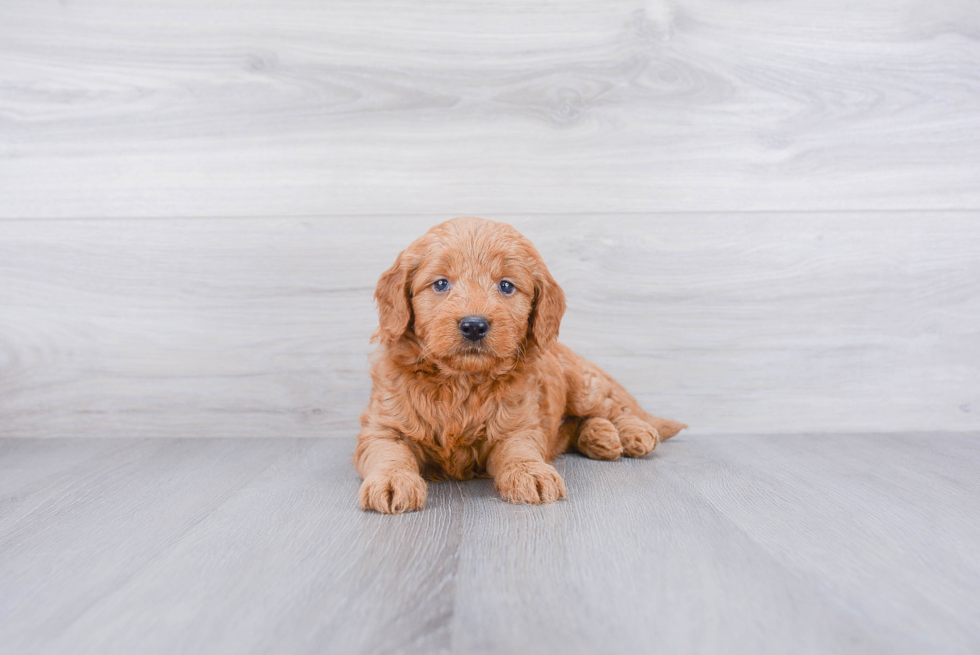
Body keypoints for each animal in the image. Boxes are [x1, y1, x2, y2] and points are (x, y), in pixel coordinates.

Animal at [354, 215, 688, 512]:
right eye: (440, 284)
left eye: (505, 286)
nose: (474, 325)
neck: (461, 381)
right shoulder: (383, 426)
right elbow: (388, 452)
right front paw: (392, 480)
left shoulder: (518, 425)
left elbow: (519, 449)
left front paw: (530, 472)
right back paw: (600, 437)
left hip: (583, 386)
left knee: (614, 408)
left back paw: (633, 433)